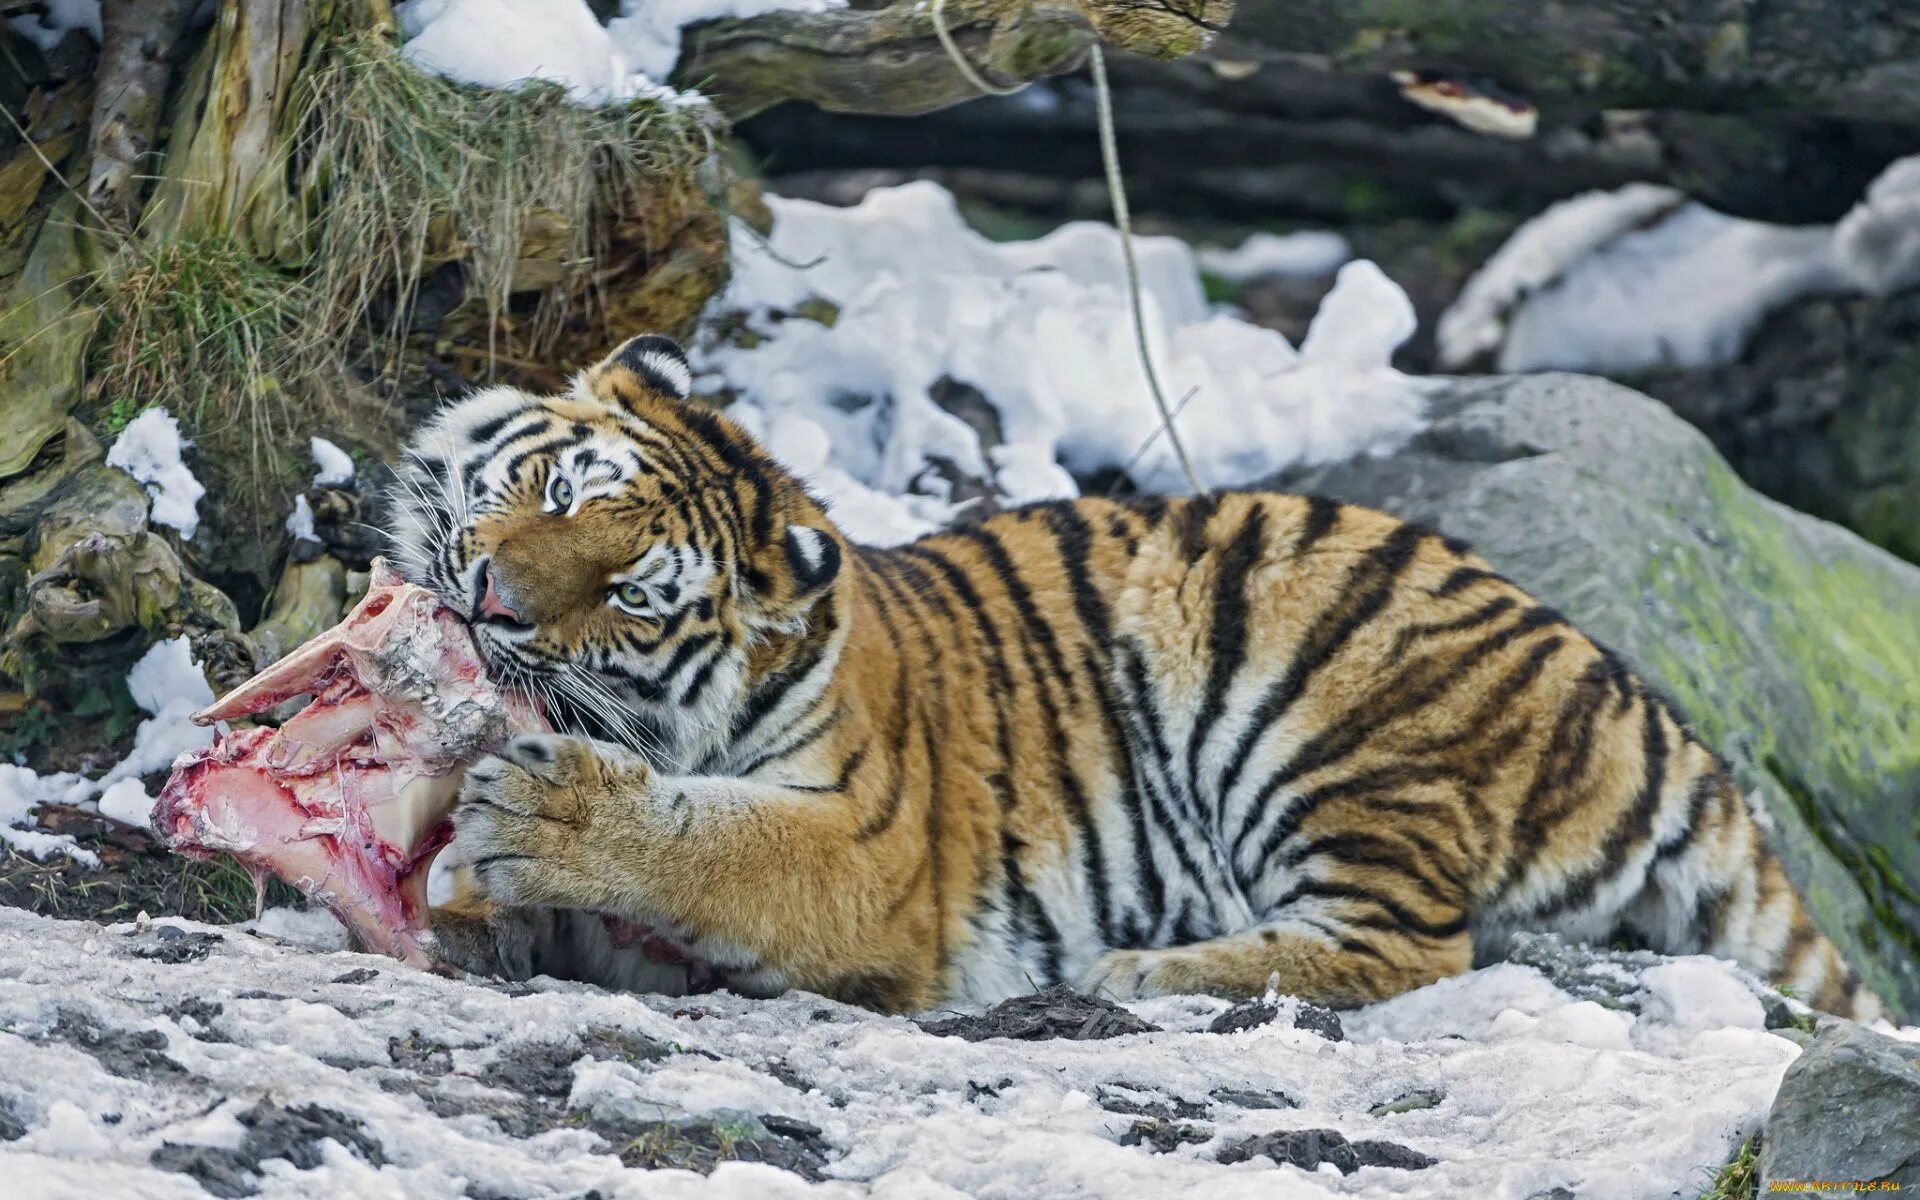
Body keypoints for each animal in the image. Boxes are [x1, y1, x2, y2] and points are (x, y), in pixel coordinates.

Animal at [382, 330, 1881, 1021]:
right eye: (553, 492)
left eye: (630, 593)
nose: (488, 598)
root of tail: (1618, 679)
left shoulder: (874, 856)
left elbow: (714, 845)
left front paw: (545, 814)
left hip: (1320, 721)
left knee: (1412, 947)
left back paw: (1142, 971)